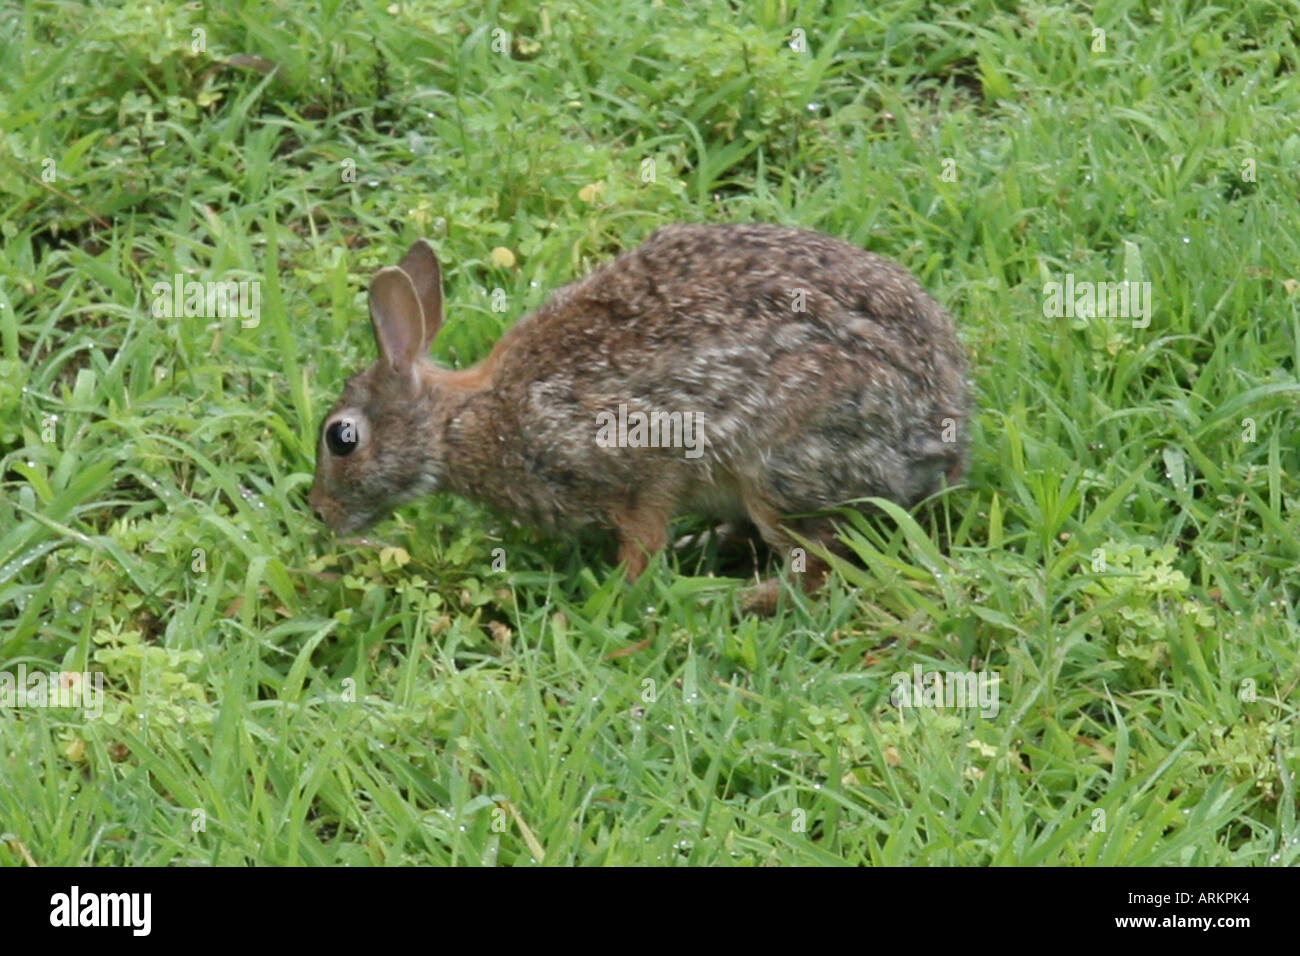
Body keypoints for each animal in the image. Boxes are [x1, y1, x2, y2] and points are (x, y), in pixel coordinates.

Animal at [309, 225, 972, 613]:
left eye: (342, 438)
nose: (319, 514)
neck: (464, 419)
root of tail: (942, 435)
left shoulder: (632, 465)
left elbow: (643, 541)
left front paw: (610, 599)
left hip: (782, 464)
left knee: (817, 567)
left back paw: (731, 599)